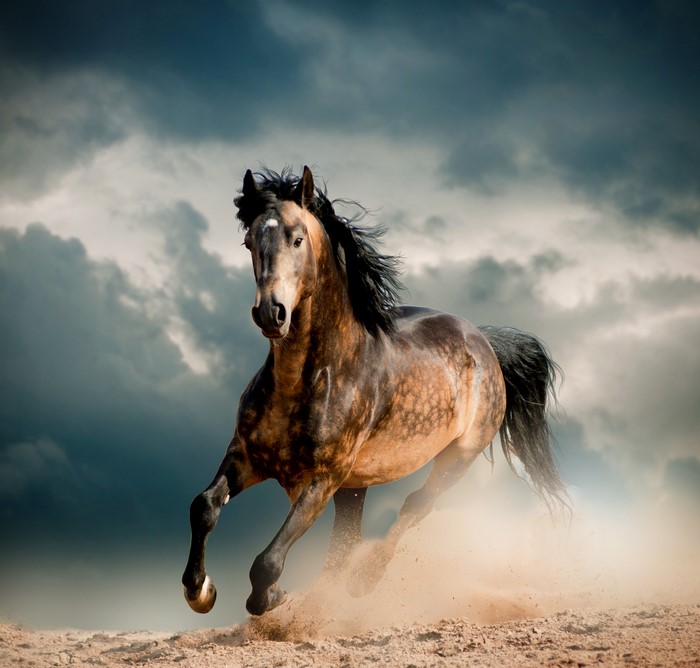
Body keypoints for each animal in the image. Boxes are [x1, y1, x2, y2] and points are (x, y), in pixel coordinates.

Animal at [182, 166, 567, 617]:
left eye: (297, 238)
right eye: (248, 242)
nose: (270, 313)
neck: (310, 380)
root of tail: (484, 341)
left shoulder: (321, 480)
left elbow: (268, 561)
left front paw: (272, 597)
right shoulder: (246, 457)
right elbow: (204, 506)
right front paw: (200, 591)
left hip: (457, 458)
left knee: (414, 506)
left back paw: (363, 582)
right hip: (356, 486)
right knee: (345, 542)